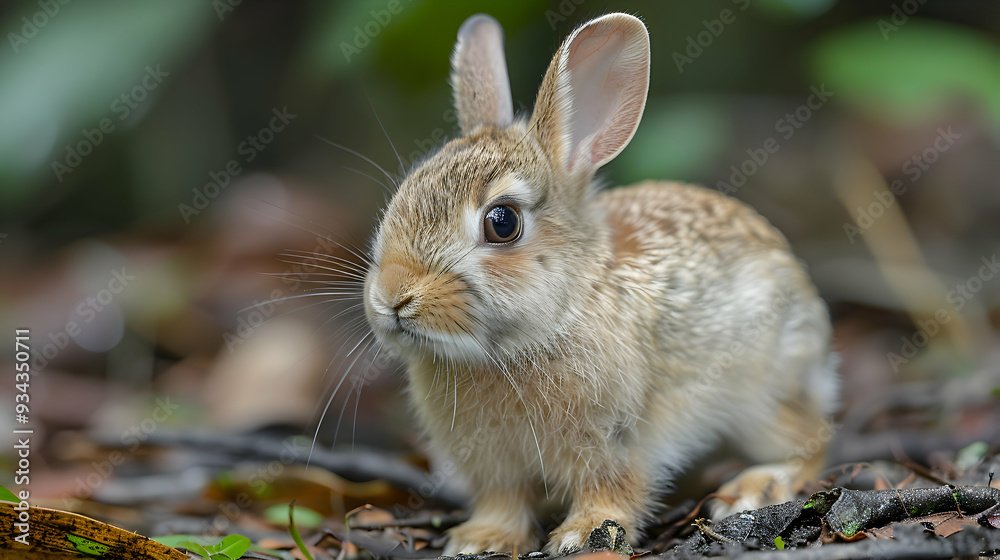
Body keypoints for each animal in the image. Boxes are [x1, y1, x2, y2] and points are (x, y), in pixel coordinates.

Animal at [362, 12, 838, 556]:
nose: (392, 297)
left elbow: (613, 489)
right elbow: (503, 502)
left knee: (811, 438)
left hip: (763, 393)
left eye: (502, 223)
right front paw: (481, 540)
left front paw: (582, 534)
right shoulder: (495, 466)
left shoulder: (618, 439)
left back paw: (755, 487)